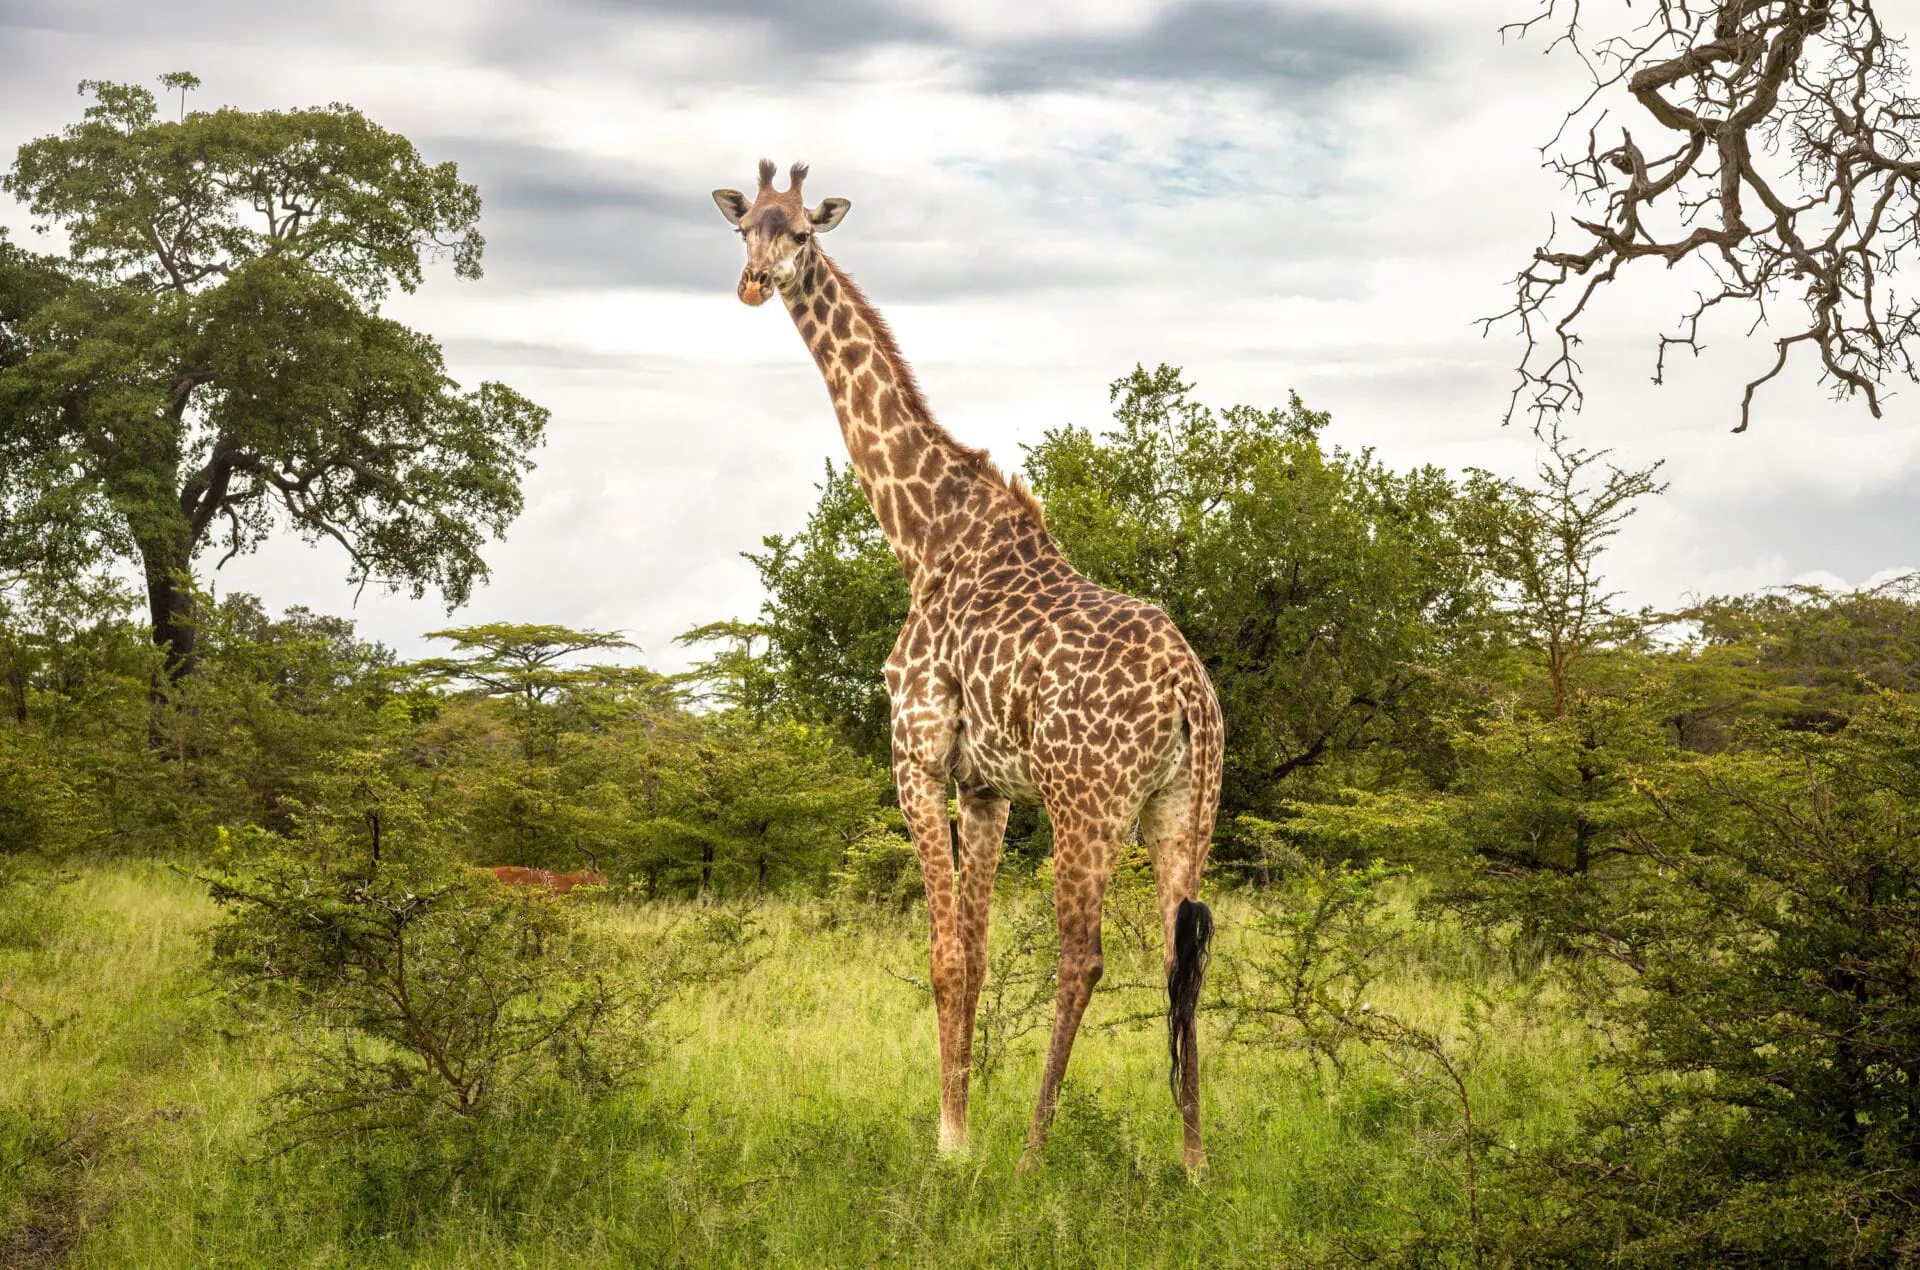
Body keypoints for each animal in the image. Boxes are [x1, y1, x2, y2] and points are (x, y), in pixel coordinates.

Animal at [714, 161, 1221, 1168]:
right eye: (746, 226)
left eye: (803, 234)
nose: (754, 283)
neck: (922, 535)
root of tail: (1192, 691)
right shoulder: (987, 785)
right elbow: (978, 956)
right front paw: (962, 1125)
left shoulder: (916, 753)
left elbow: (945, 955)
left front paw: (953, 1143)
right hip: (1182, 806)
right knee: (1179, 954)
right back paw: (1192, 1160)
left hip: (1085, 801)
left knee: (1085, 956)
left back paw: (1034, 1147)